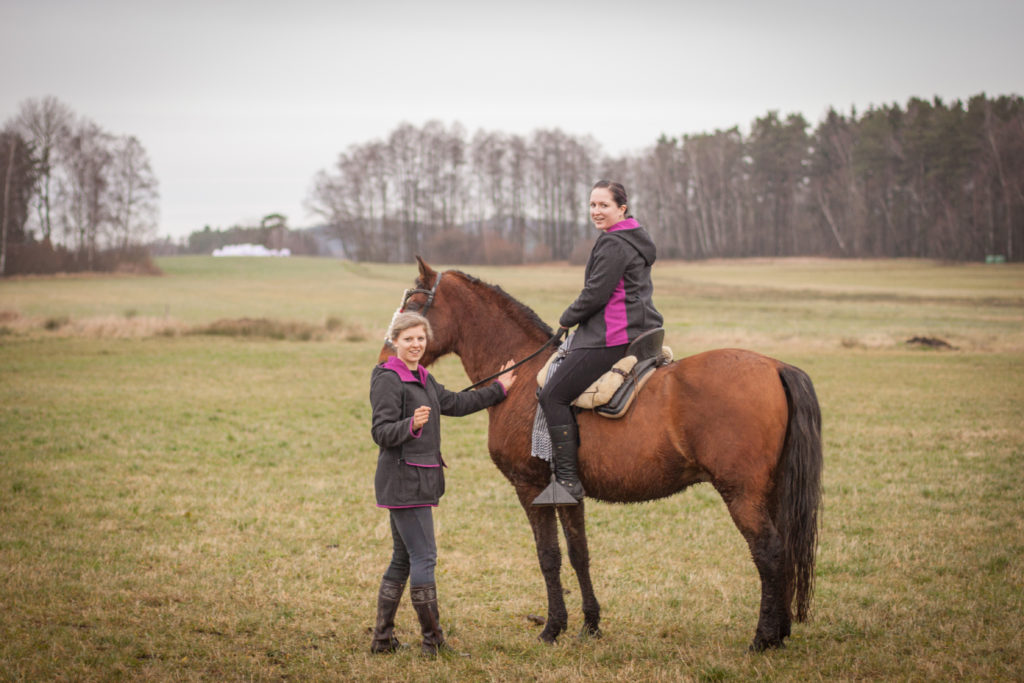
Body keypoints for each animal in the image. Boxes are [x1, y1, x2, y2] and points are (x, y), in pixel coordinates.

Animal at [385, 259, 823, 655]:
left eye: (414, 304)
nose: (387, 355)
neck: (522, 377)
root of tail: (775, 366)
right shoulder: (567, 492)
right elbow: (579, 554)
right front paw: (590, 625)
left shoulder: (530, 487)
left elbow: (549, 556)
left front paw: (553, 629)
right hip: (770, 491)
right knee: (784, 550)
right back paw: (781, 631)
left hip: (741, 493)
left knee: (769, 551)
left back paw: (763, 638)